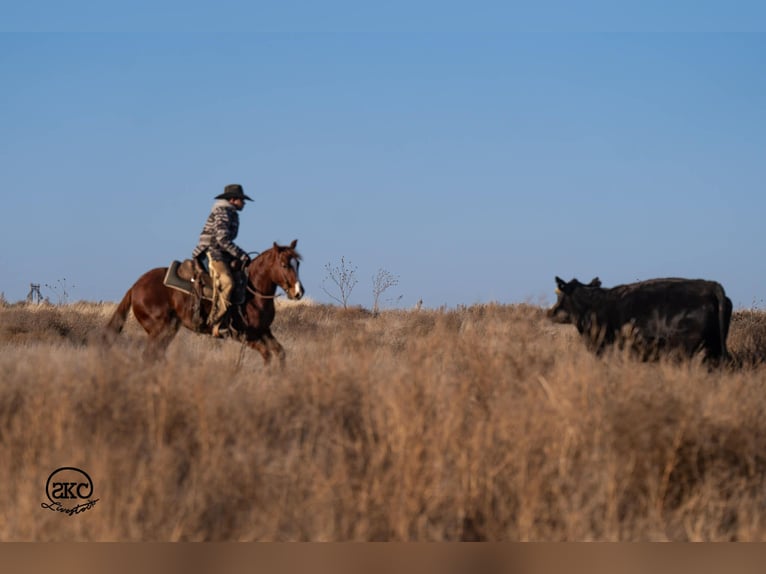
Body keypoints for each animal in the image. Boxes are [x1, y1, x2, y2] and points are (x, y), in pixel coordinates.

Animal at [106, 239, 304, 364]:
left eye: (298, 264)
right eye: (284, 265)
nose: (298, 292)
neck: (251, 290)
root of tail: (135, 287)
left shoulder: (263, 331)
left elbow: (280, 353)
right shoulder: (243, 335)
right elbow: (267, 355)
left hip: (168, 330)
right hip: (159, 330)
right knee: (150, 356)